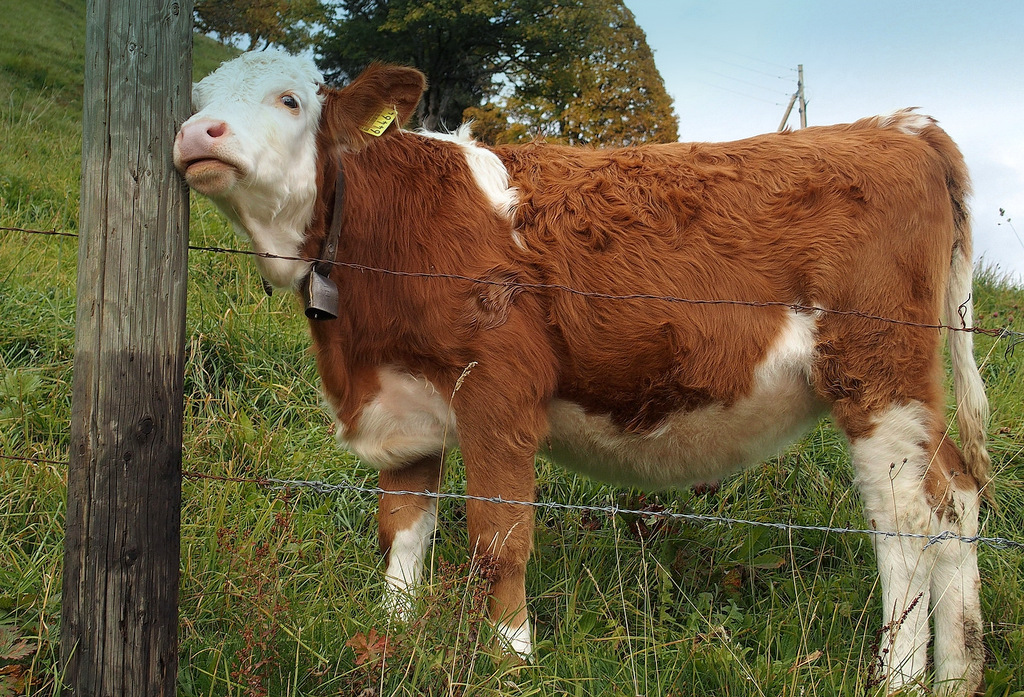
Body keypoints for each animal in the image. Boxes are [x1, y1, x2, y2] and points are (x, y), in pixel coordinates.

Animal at [176, 51, 991, 691]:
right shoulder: (401, 406)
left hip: (877, 377)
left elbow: (498, 537)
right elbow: (402, 533)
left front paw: (512, 661)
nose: (196, 134)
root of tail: (899, 126)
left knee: (906, 524)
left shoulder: (498, 390)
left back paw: (900, 677)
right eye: (197, 96)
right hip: (909, 393)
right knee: (955, 496)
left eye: (289, 99)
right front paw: (395, 637)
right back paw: (958, 672)